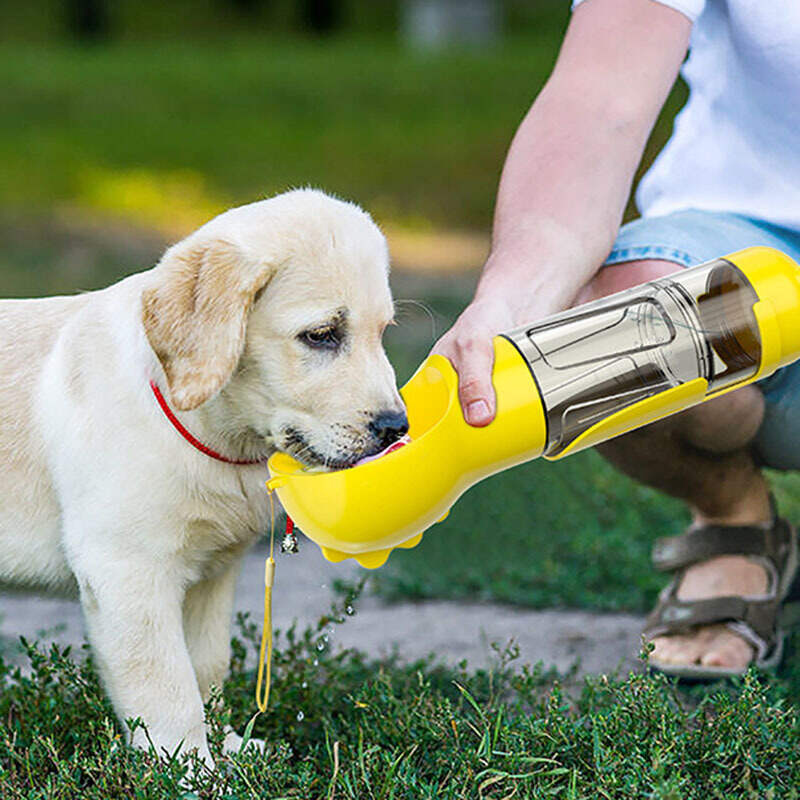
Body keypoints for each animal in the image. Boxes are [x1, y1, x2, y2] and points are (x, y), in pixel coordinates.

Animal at [0, 188, 406, 764]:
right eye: (322, 335)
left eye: (382, 333)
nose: (397, 428)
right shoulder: (127, 570)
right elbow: (167, 686)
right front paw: (187, 768)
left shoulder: (212, 574)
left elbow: (207, 667)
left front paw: (228, 747)